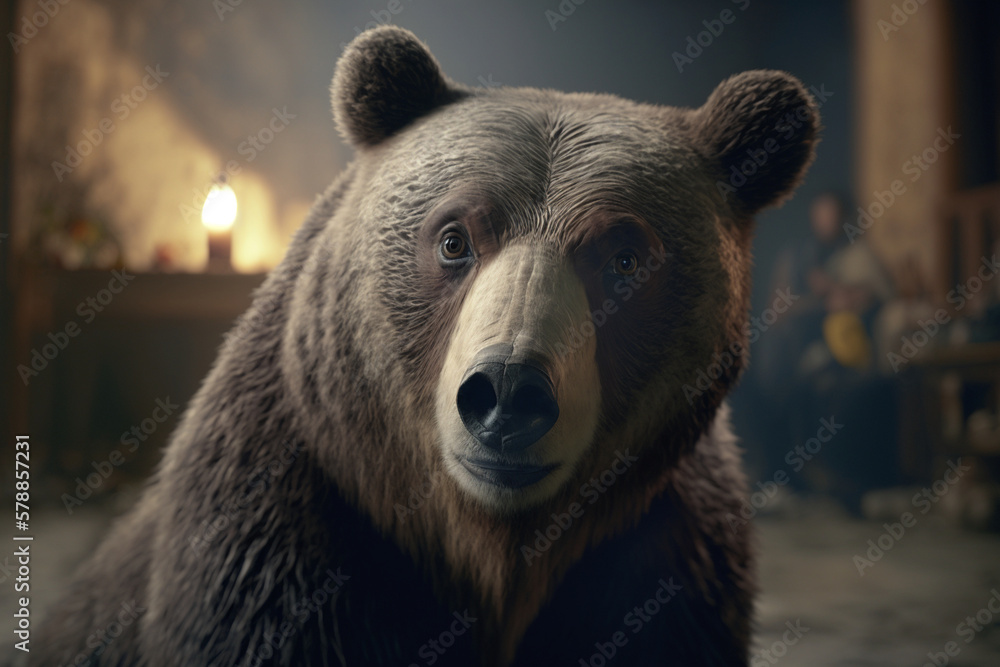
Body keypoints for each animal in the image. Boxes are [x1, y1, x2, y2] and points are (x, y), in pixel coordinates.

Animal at [31, 26, 818, 667]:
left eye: (624, 257)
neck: (490, 557)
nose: (508, 392)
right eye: (454, 238)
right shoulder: (280, 547)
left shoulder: (669, 564)